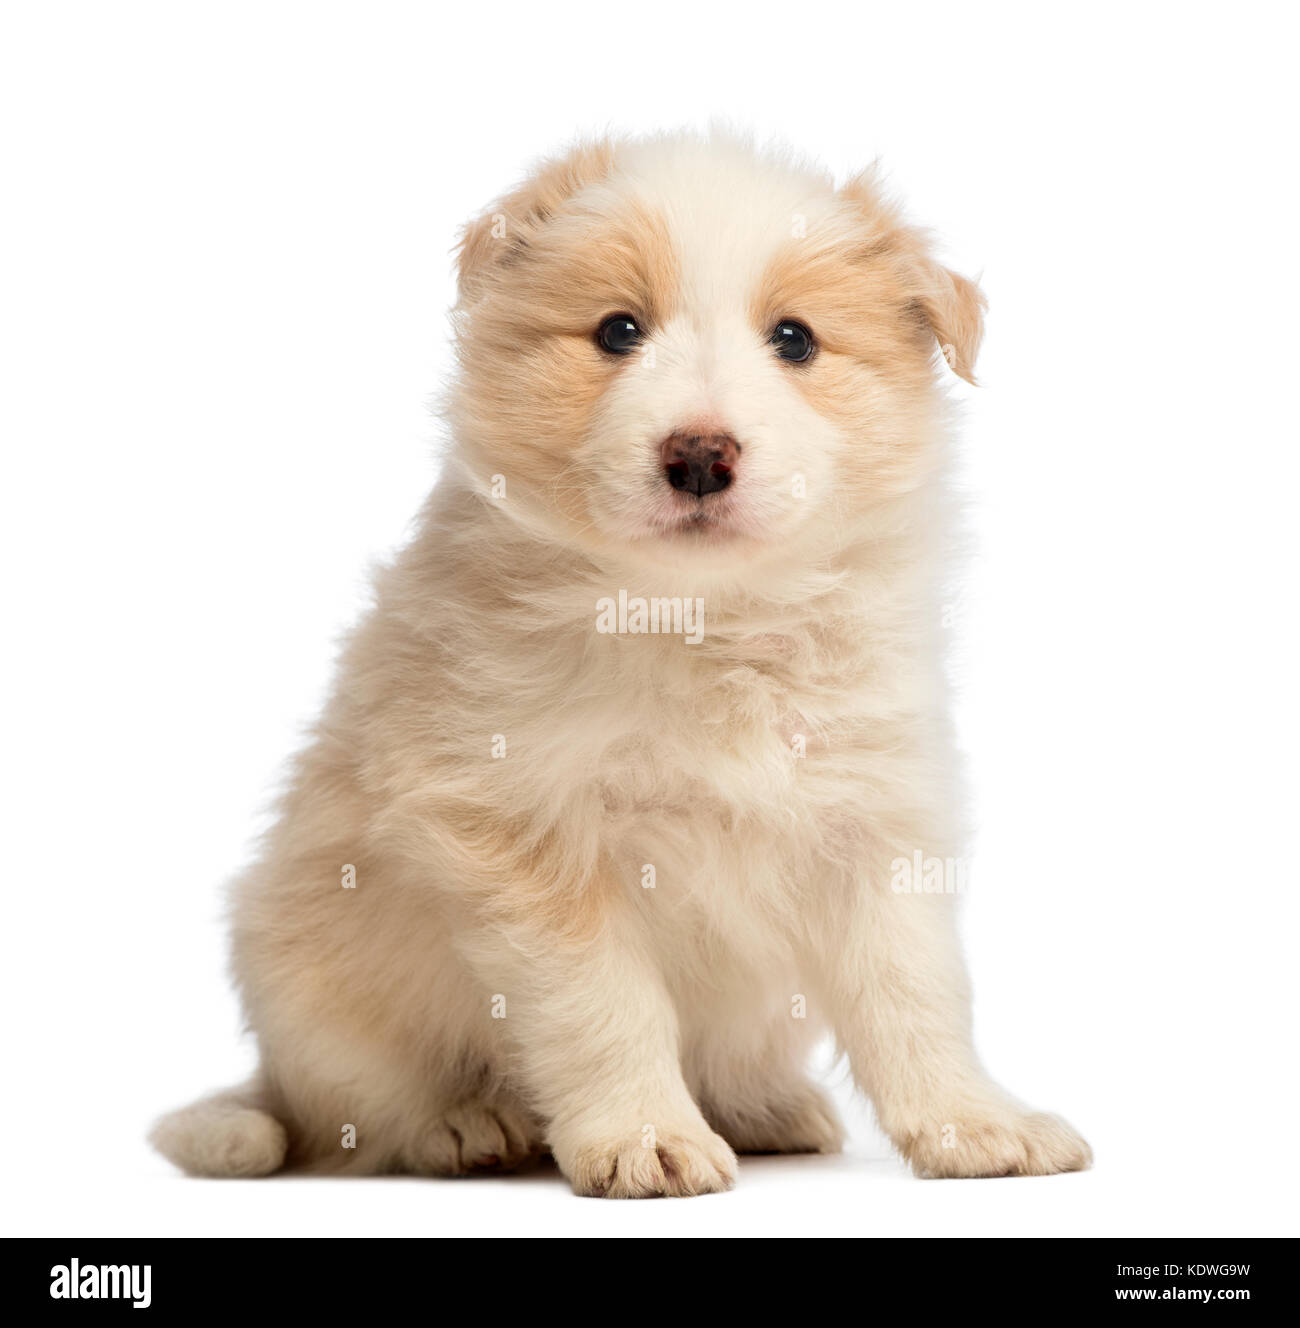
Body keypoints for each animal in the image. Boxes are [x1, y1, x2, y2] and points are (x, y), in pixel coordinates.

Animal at [150, 132, 1088, 1195]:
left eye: (796, 340)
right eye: (616, 330)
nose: (700, 455)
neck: (699, 617)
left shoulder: (874, 815)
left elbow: (916, 990)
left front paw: (976, 1124)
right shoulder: (524, 831)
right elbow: (604, 1006)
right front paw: (648, 1139)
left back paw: (763, 1107)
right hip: (315, 988)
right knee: (363, 1110)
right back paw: (462, 1125)